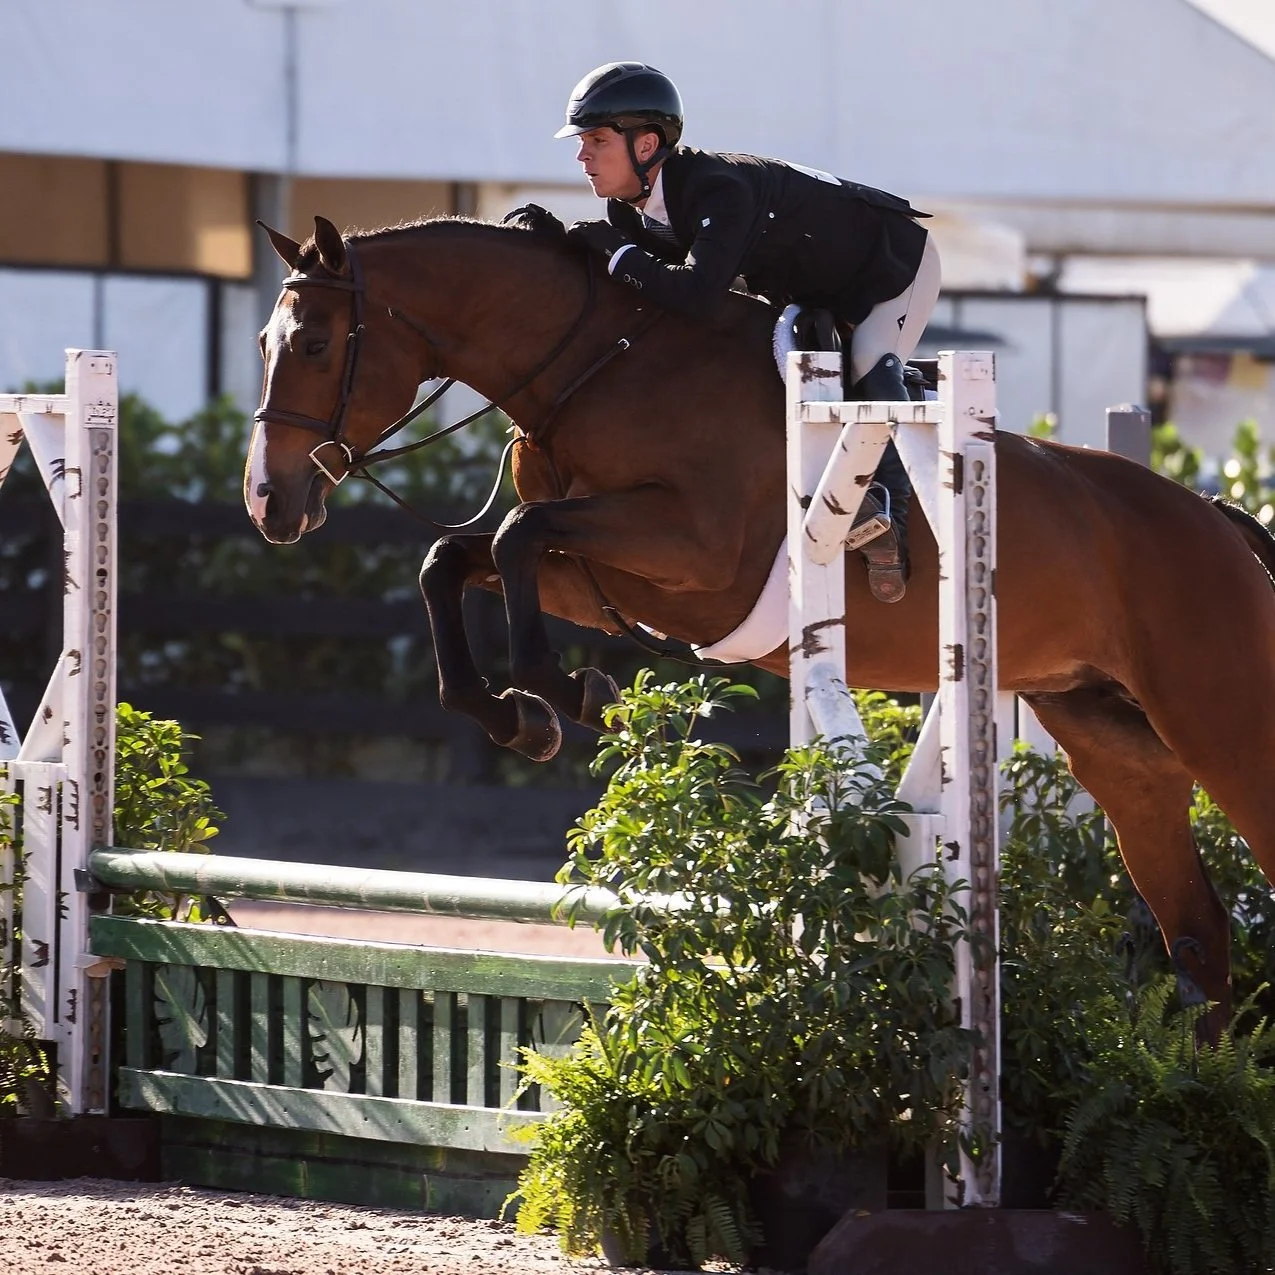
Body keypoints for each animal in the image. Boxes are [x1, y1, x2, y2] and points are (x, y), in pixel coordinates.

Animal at [248, 211, 1275, 1038]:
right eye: (263, 339)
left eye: (312, 342)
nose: (268, 501)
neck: (596, 367)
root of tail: (1215, 519)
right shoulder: (605, 572)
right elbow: (460, 557)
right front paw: (517, 715)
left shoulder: (692, 556)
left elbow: (511, 534)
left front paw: (568, 691)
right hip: (1115, 744)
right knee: (1198, 929)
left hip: (1224, 729)